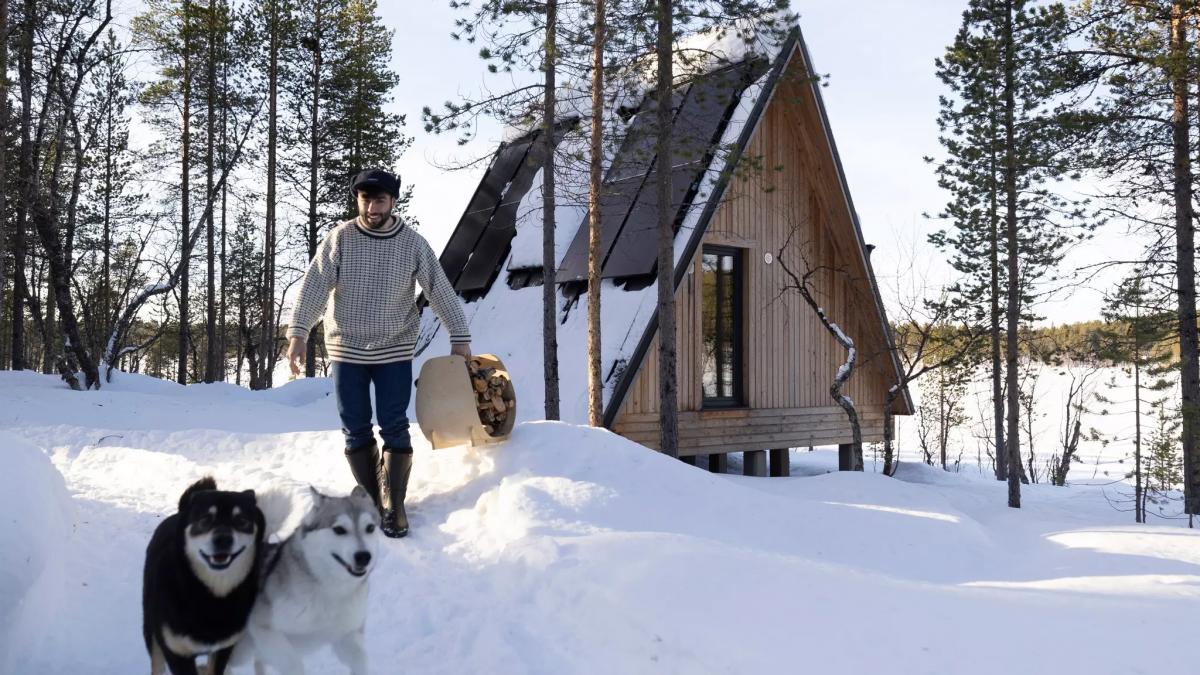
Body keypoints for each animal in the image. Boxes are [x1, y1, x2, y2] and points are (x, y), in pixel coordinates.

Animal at [141, 475, 265, 667]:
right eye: (206, 519)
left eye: (242, 520)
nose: (223, 539)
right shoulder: (175, 651)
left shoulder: (224, 648)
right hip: (151, 632)